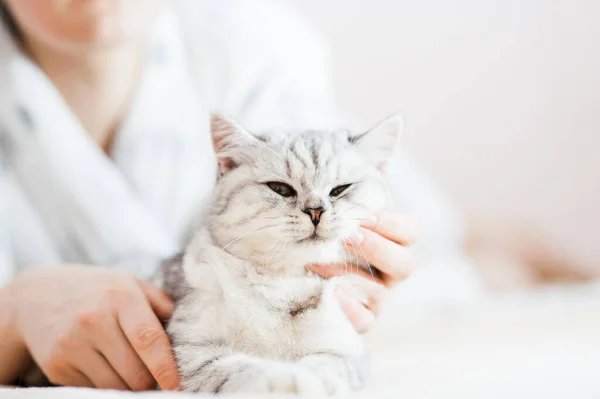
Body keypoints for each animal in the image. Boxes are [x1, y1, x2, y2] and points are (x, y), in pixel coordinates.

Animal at [162, 114, 400, 396]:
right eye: (280, 189)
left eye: (340, 189)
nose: (316, 210)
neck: (285, 285)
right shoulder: (193, 353)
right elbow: (248, 370)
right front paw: (293, 380)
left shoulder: (348, 355)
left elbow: (324, 366)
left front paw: (314, 380)